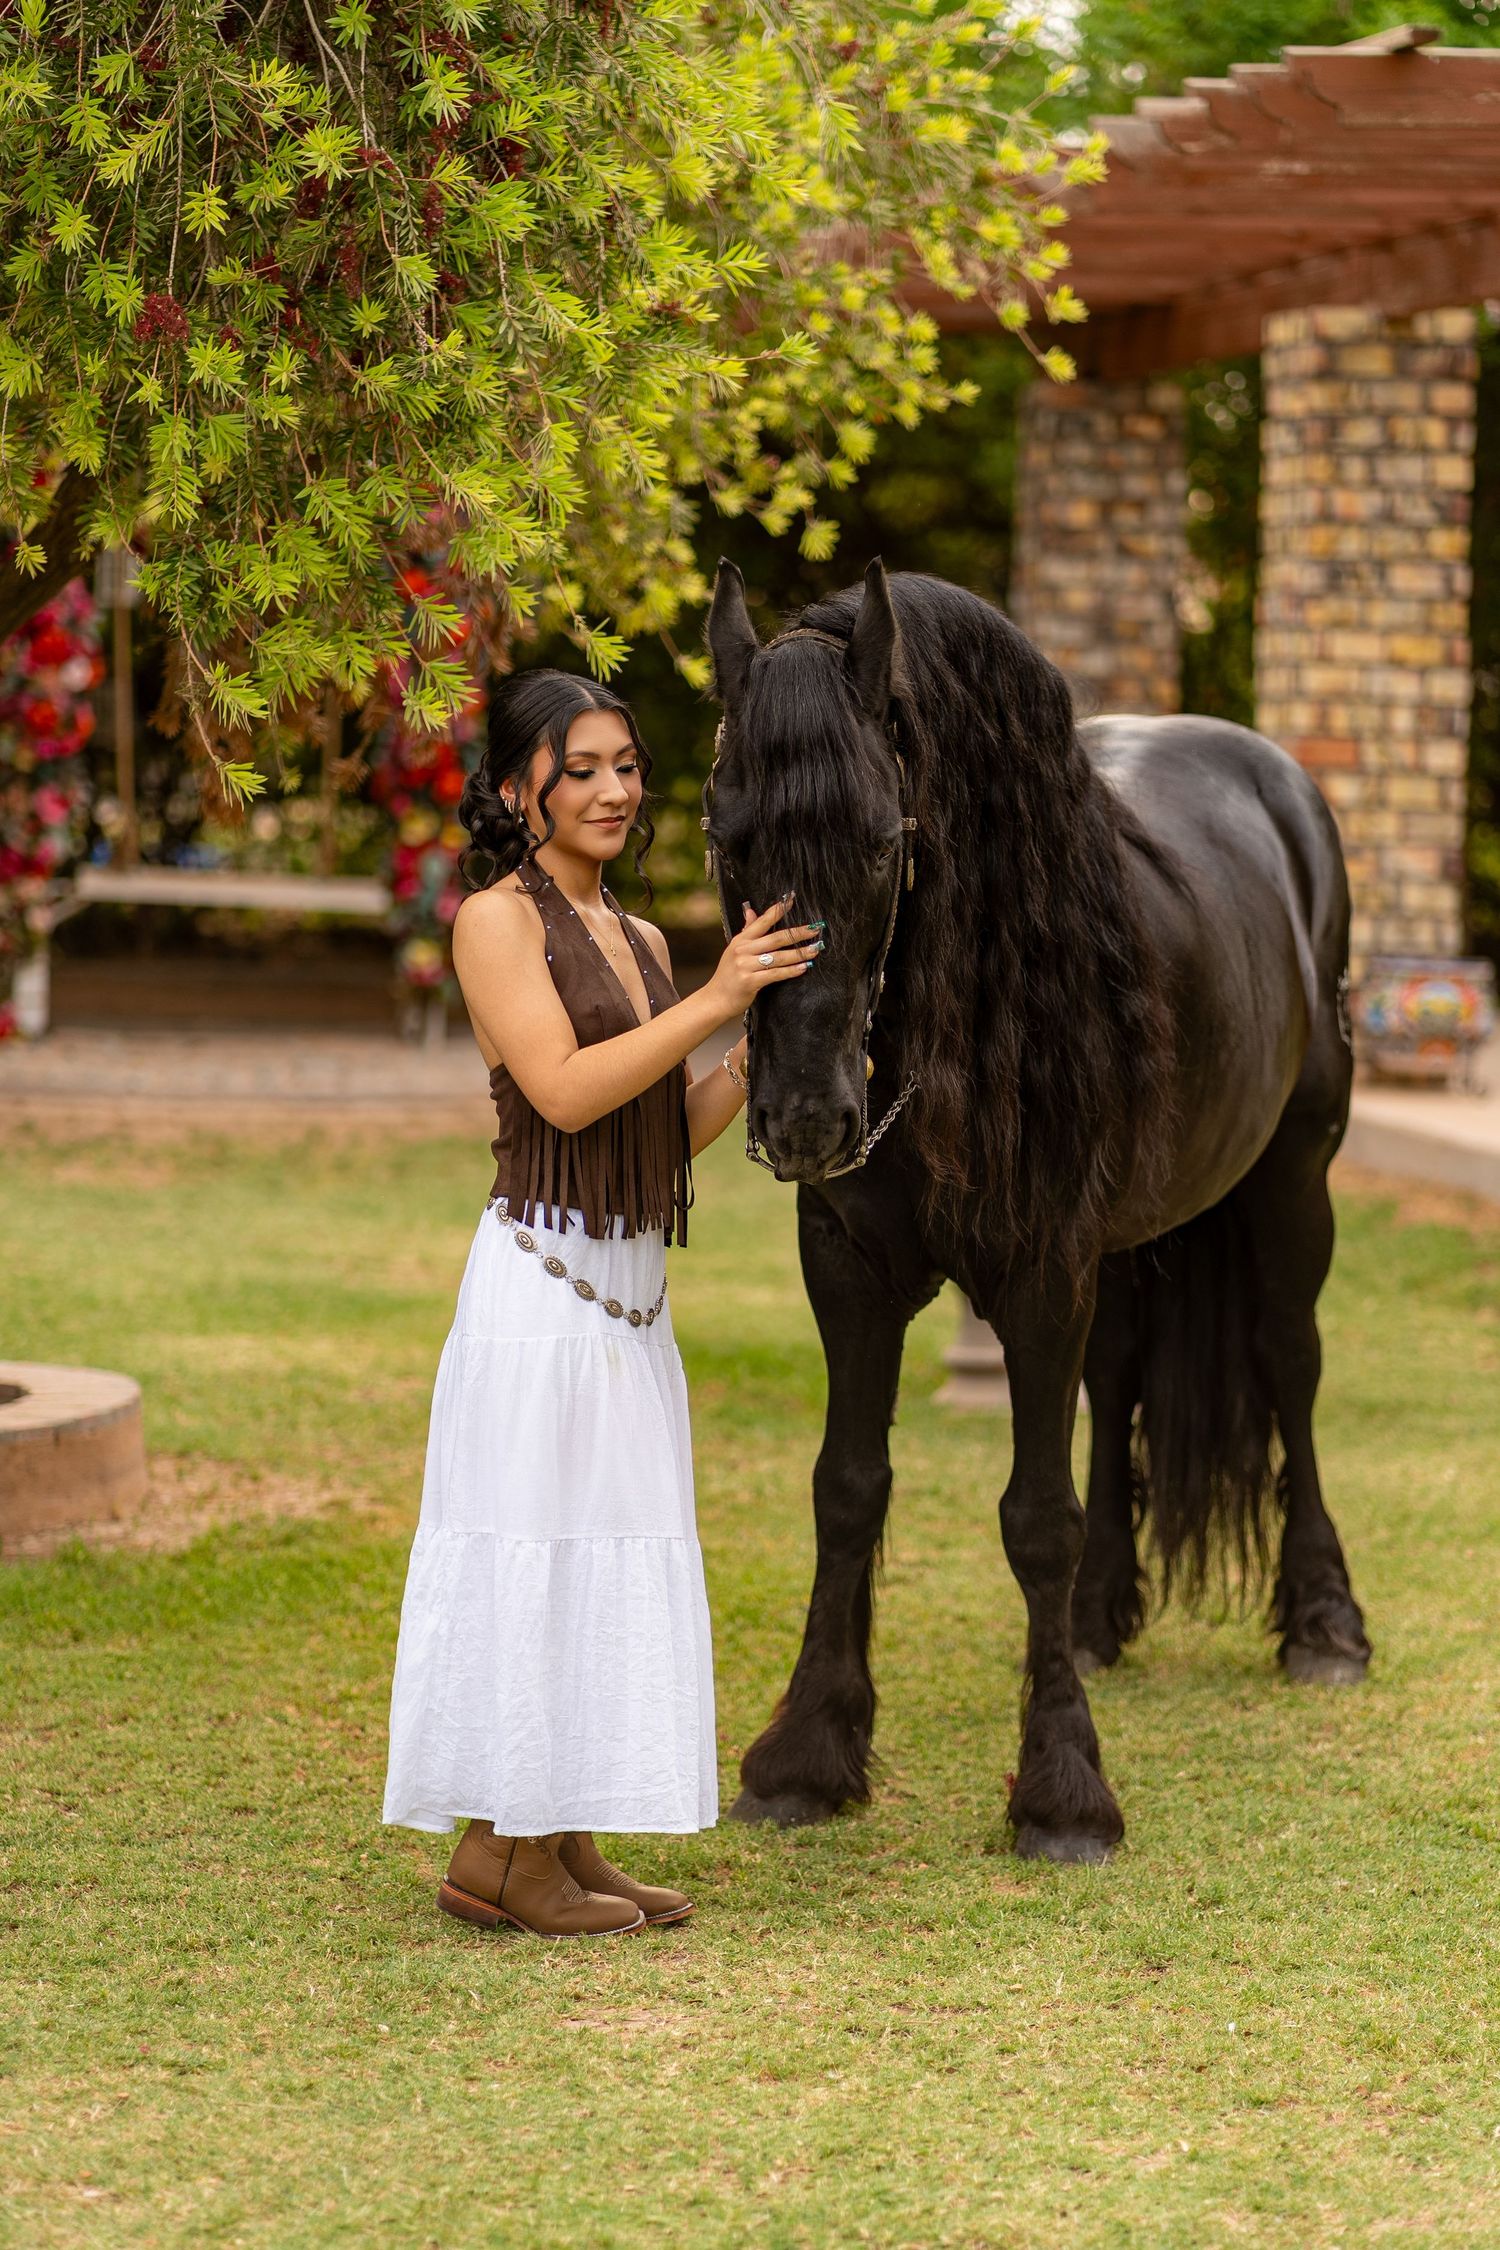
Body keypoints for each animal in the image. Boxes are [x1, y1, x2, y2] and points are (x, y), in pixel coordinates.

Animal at [703, 558, 1371, 1864]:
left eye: (883, 842)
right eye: (725, 839)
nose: (806, 1119)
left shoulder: (1042, 1272)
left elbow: (1035, 1517)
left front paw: (1063, 1794)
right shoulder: (849, 1269)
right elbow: (847, 1488)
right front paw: (806, 1758)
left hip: (1291, 1182)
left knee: (1291, 1364)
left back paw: (1323, 1624)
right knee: (1117, 1377)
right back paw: (1103, 1616)